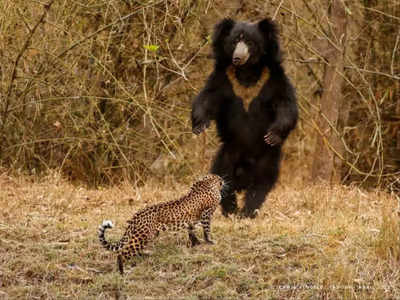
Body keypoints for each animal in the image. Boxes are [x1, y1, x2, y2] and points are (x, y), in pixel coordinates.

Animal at [191, 17, 296, 217]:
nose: (237, 58)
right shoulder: (224, 77)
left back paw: (248, 211)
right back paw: (230, 210)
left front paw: (273, 135)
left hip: (267, 159)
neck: (248, 70)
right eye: (234, 42)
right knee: (224, 178)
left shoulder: (273, 79)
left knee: (261, 184)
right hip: (227, 155)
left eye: (249, 42)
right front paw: (199, 126)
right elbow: (208, 97)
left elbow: (286, 104)